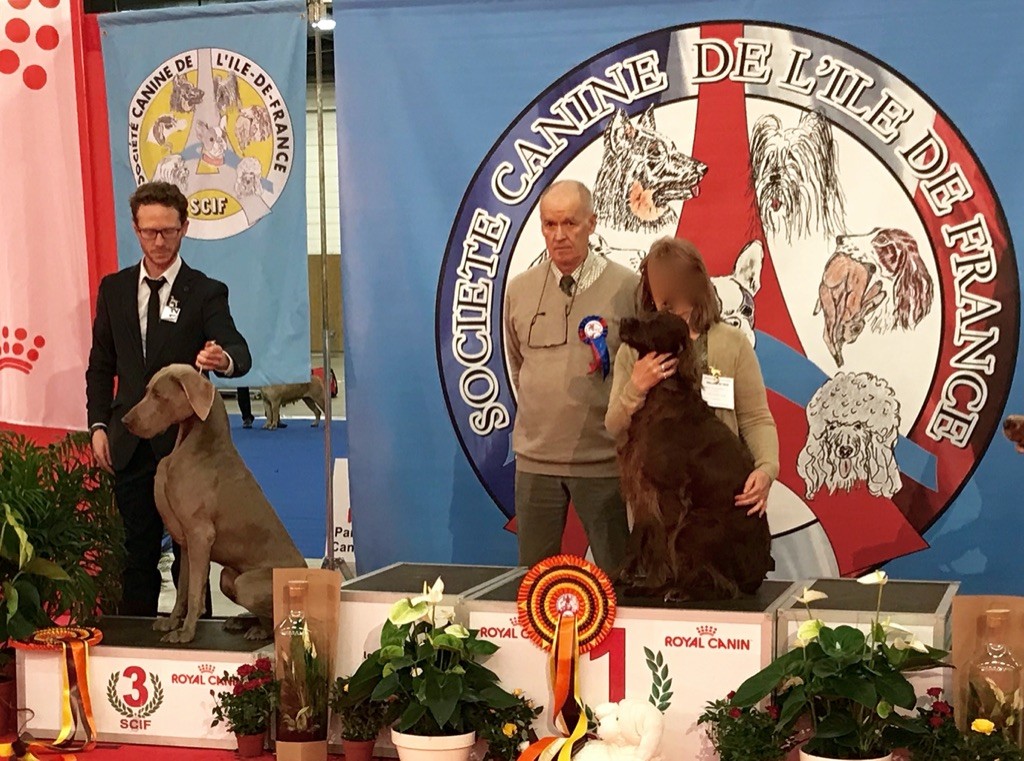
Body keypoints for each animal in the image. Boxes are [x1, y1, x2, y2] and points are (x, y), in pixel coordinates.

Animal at [121, 365, 306, 644]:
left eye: (158, 395)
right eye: (147, 391)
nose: (126, 421)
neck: (197, 446)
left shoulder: (200, 535)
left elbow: (195, 593)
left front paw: (185, 632)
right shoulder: (186, 541)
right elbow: (183, 589)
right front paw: (172, 621)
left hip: (247, 583)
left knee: (278, 620)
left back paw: (259, 629)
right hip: (228, 576)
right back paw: (242, 622)